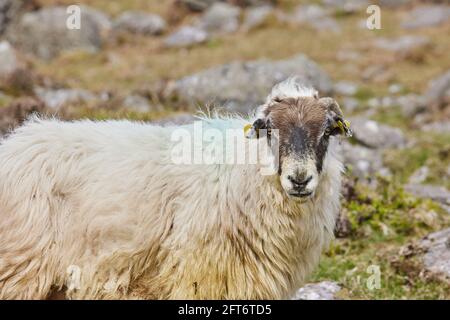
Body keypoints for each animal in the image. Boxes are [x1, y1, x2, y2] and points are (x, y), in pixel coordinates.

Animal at [0, 79, 352, 298]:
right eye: (270, 132)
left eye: (326, 133)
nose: (299, 179)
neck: (243, 170)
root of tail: (15, 144)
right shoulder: (200, 275)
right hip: (18, 268)